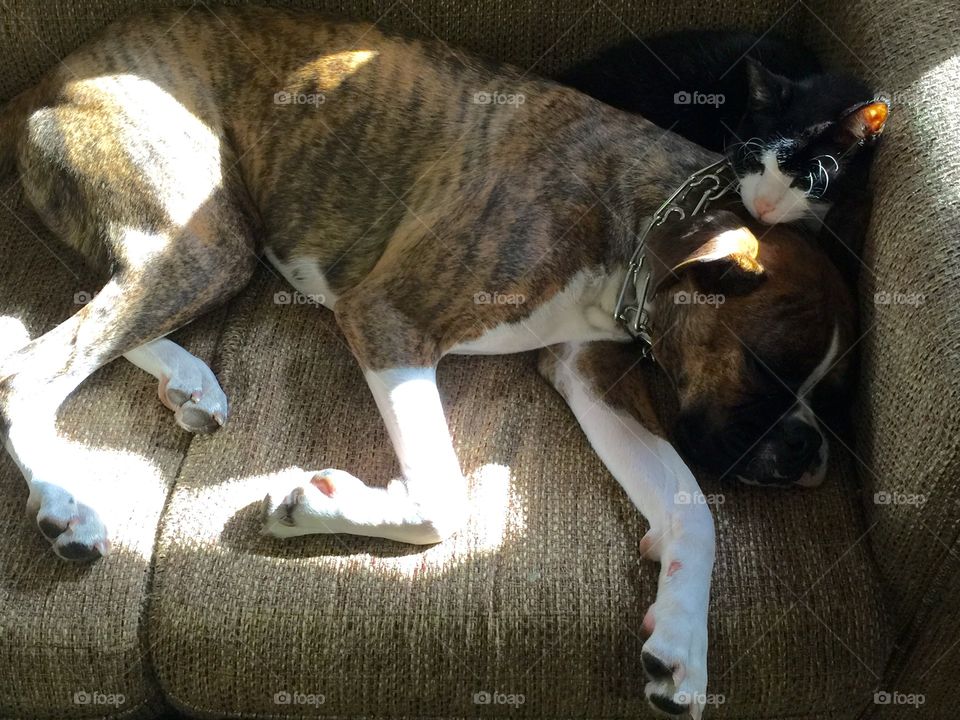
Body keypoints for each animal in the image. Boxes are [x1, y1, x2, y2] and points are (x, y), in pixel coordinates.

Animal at [0, 7, 856, 720]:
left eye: (832, 394)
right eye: (770, 368)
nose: (809, 450)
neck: (640, 215)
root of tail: (53, 71)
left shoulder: (591, 377)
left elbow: (691, 508)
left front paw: (682, 645)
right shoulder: (390, 319)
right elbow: (443, 499)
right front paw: (309, 508)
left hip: (198, 243)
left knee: (98, 310)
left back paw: (187, 380)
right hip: (203, 234)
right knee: (34, 367)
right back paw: (66, 502)